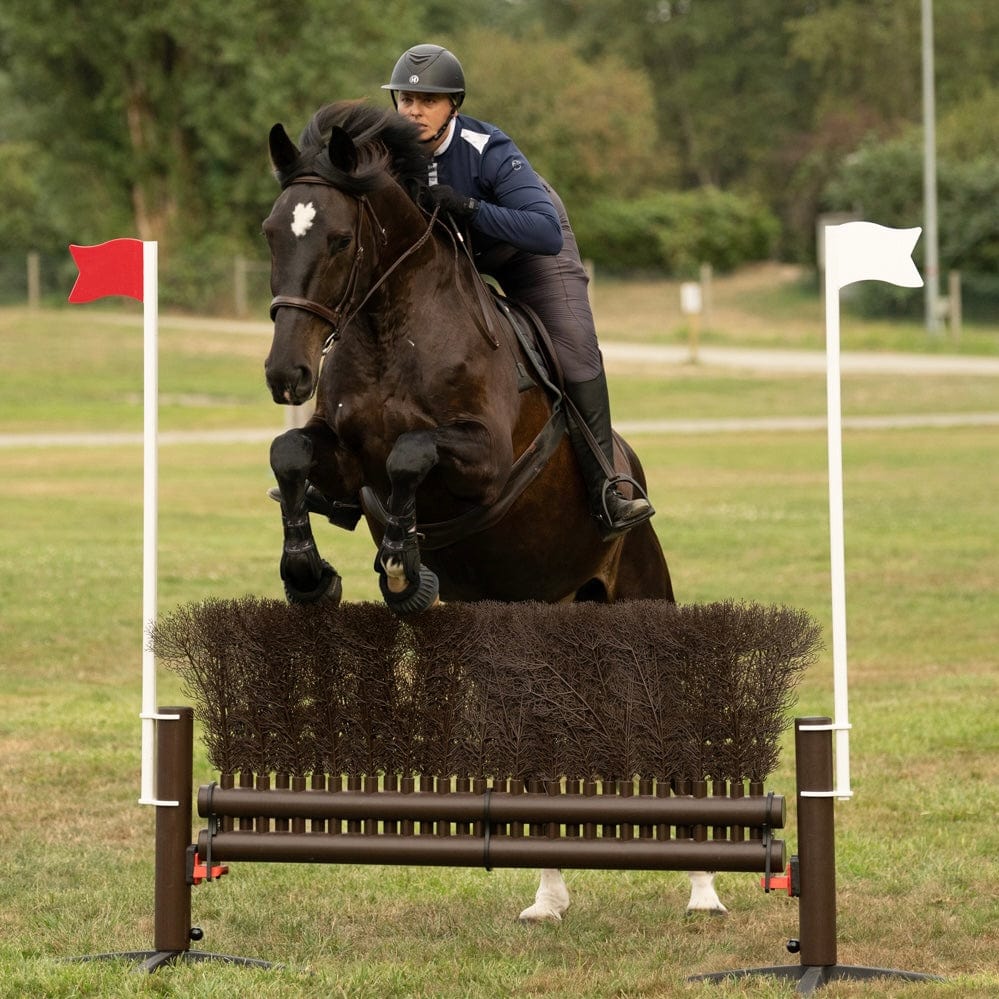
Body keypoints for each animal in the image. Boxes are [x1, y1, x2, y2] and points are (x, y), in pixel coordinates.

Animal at [262, 100, 726, 919]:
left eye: (340, 239)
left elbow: (411, 456)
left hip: (639, 599)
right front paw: (309, 575)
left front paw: (403, 566)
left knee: (667, 728)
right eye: (270, 232)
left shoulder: (482, 461)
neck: (391, 327)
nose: (285, 374)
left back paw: (703, 888)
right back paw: (548, 895)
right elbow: (292, 455)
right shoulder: (340, 453)